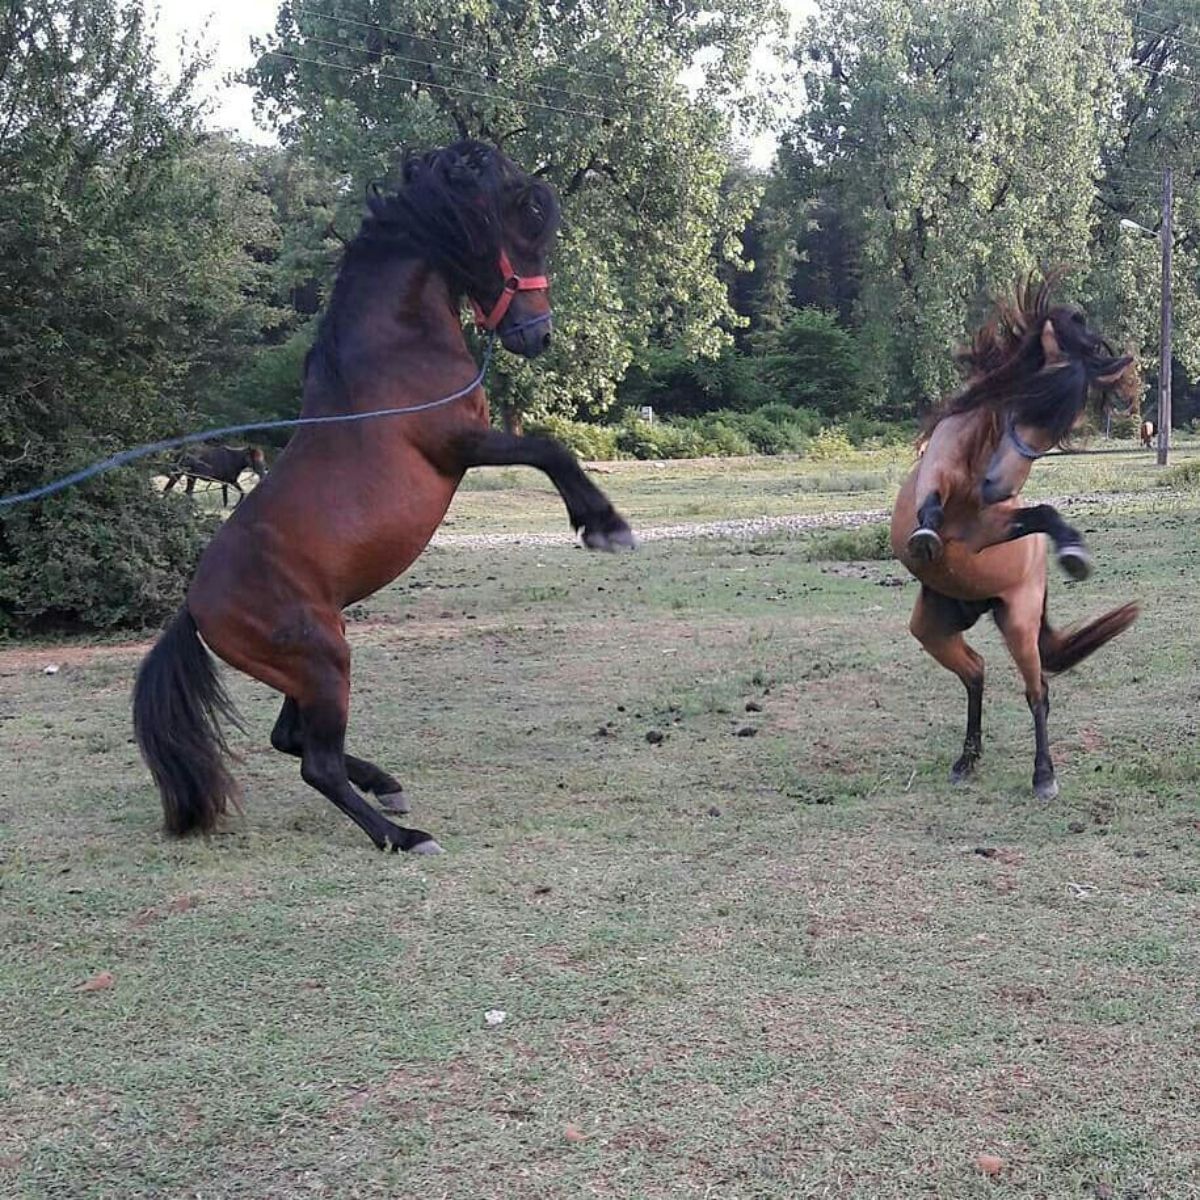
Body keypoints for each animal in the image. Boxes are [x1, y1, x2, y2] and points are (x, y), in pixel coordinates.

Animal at [135, 140, 633, 854]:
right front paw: (604, 525)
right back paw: (402, 834)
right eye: (523, 228)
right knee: (314, 762)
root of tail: (196, 608)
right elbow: (549, 450)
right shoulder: (458, 445)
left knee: (291, 739)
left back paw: (386, 786)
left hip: (311, 660)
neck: (393, 348)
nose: (537, 337)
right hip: (322, 660)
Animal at [897, 278, 1137, 796]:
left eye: (1065, 421)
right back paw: (967, 760)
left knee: (1036, 690)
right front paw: (925, 535)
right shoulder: (939, 477)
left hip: (1019, 623)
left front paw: (1073, 551)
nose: (998, 487)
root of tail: (976, 606)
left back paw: (1043, 775)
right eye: (1030, 396)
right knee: (975, 672)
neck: (976, 465)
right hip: (932, 628)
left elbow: (1042, 513)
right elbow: (931, 505)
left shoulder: (983, 530)